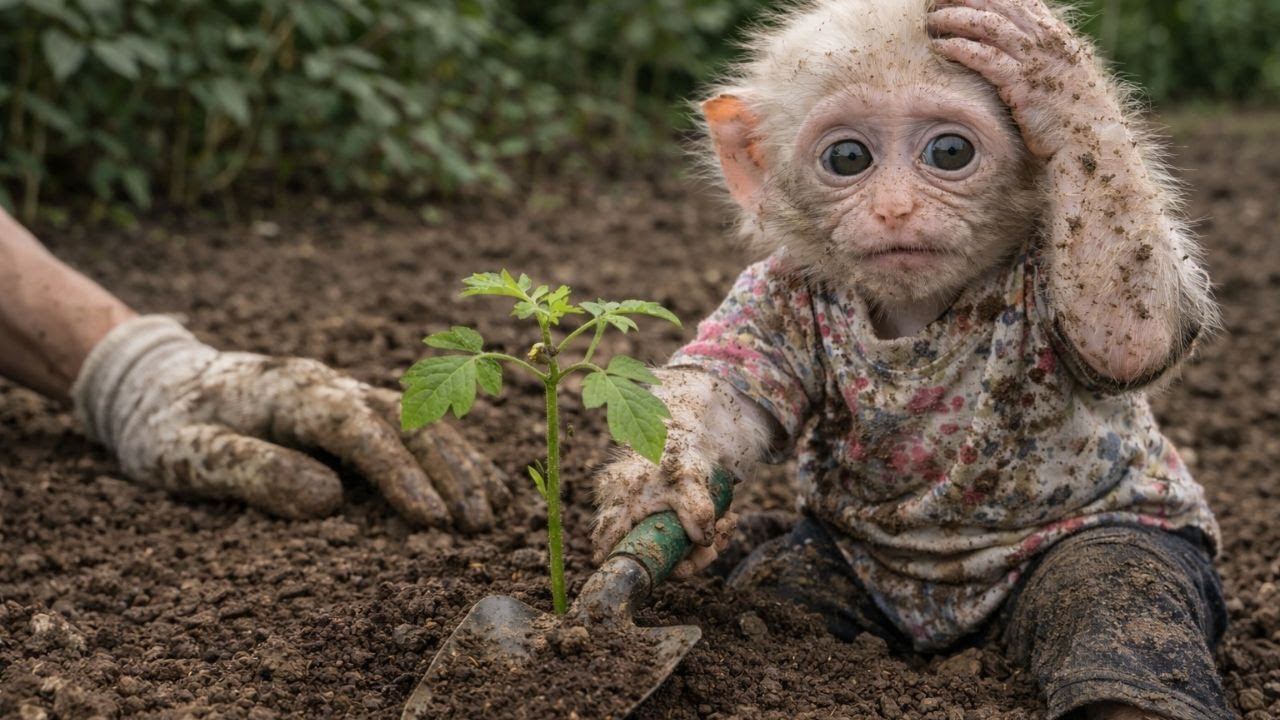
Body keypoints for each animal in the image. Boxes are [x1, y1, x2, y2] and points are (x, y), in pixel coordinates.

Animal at [590, 1, 1230, 719]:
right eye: (848, 158)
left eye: (950, 152)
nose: (895, 208)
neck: (914, 315)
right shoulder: (775, 292)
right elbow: (723, 395)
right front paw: (658, 494)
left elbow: (1127, 334)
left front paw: (1058, 86)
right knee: (788, 577)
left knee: (1114, 595)